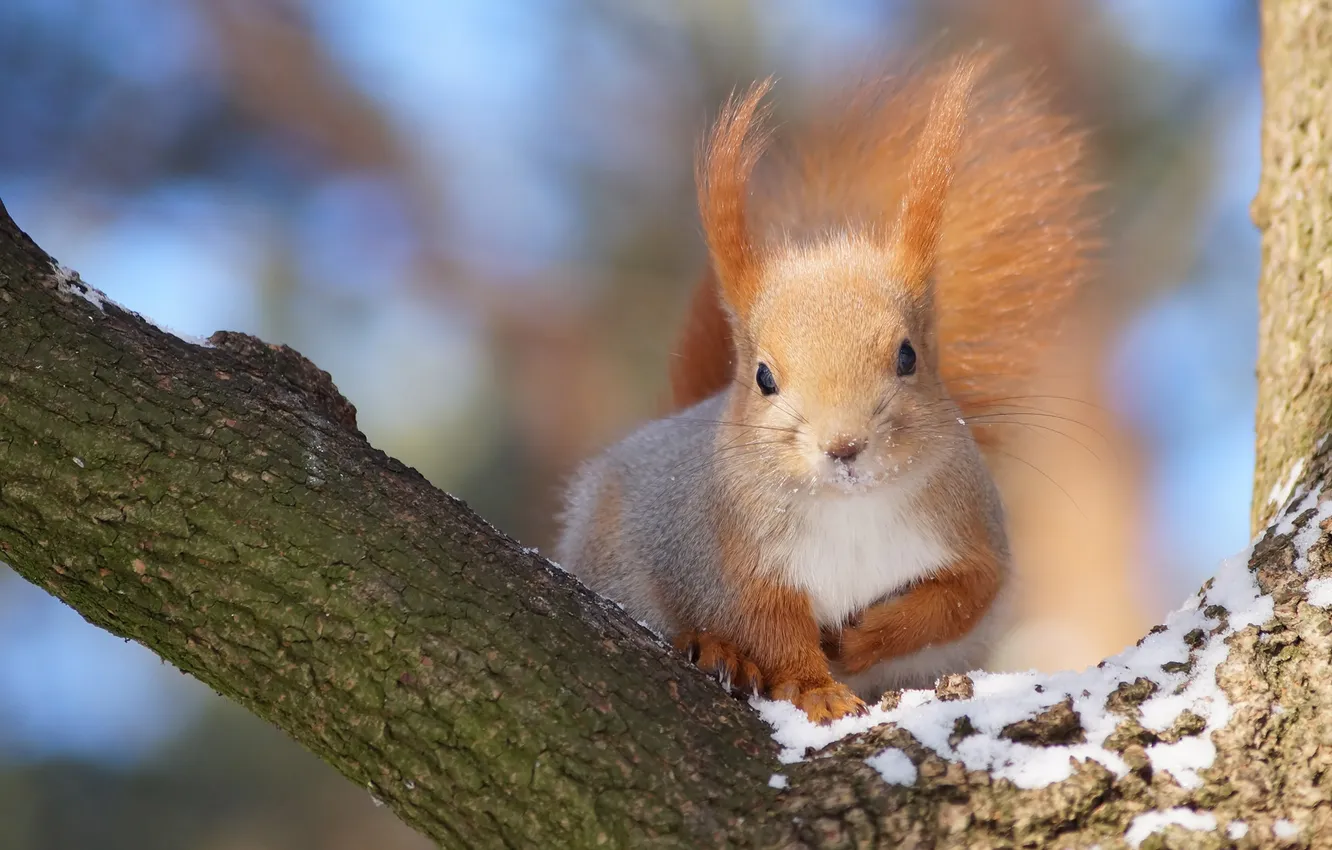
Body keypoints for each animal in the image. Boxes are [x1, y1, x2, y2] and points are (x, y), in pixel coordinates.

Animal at [551, 49, 1092, 724]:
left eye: (908, 356)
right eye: (763, 377)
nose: (844, 447)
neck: (850, 509)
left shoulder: (971, 531)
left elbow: (959, 598)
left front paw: (864, 640)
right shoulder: (733, 559)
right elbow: (770, 629)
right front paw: (816, 690)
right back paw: (717, 651)